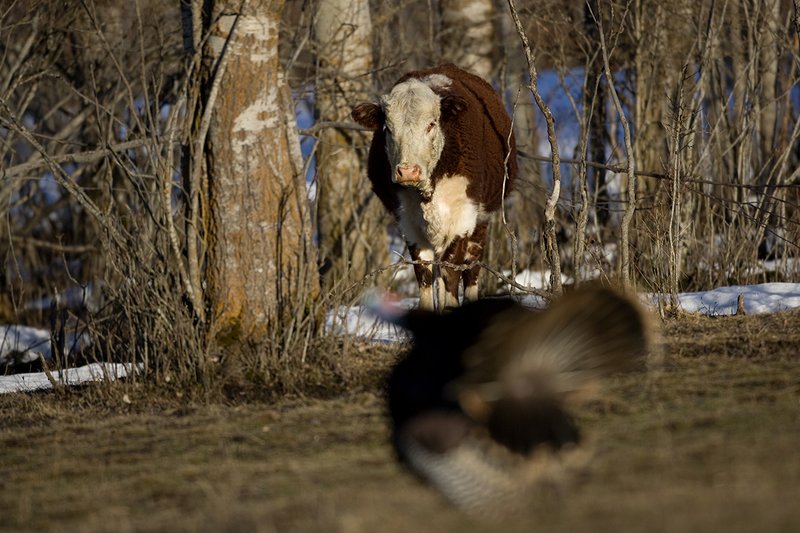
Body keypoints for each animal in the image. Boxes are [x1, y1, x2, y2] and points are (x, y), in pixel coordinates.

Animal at [351, 64, 517, 311]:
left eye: (431, 124)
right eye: (388, 129)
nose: (407, 171)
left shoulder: (463, 218)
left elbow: (451, 274)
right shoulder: (408, 223)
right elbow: (425, 276)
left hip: (482, 221)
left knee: (471, 270)